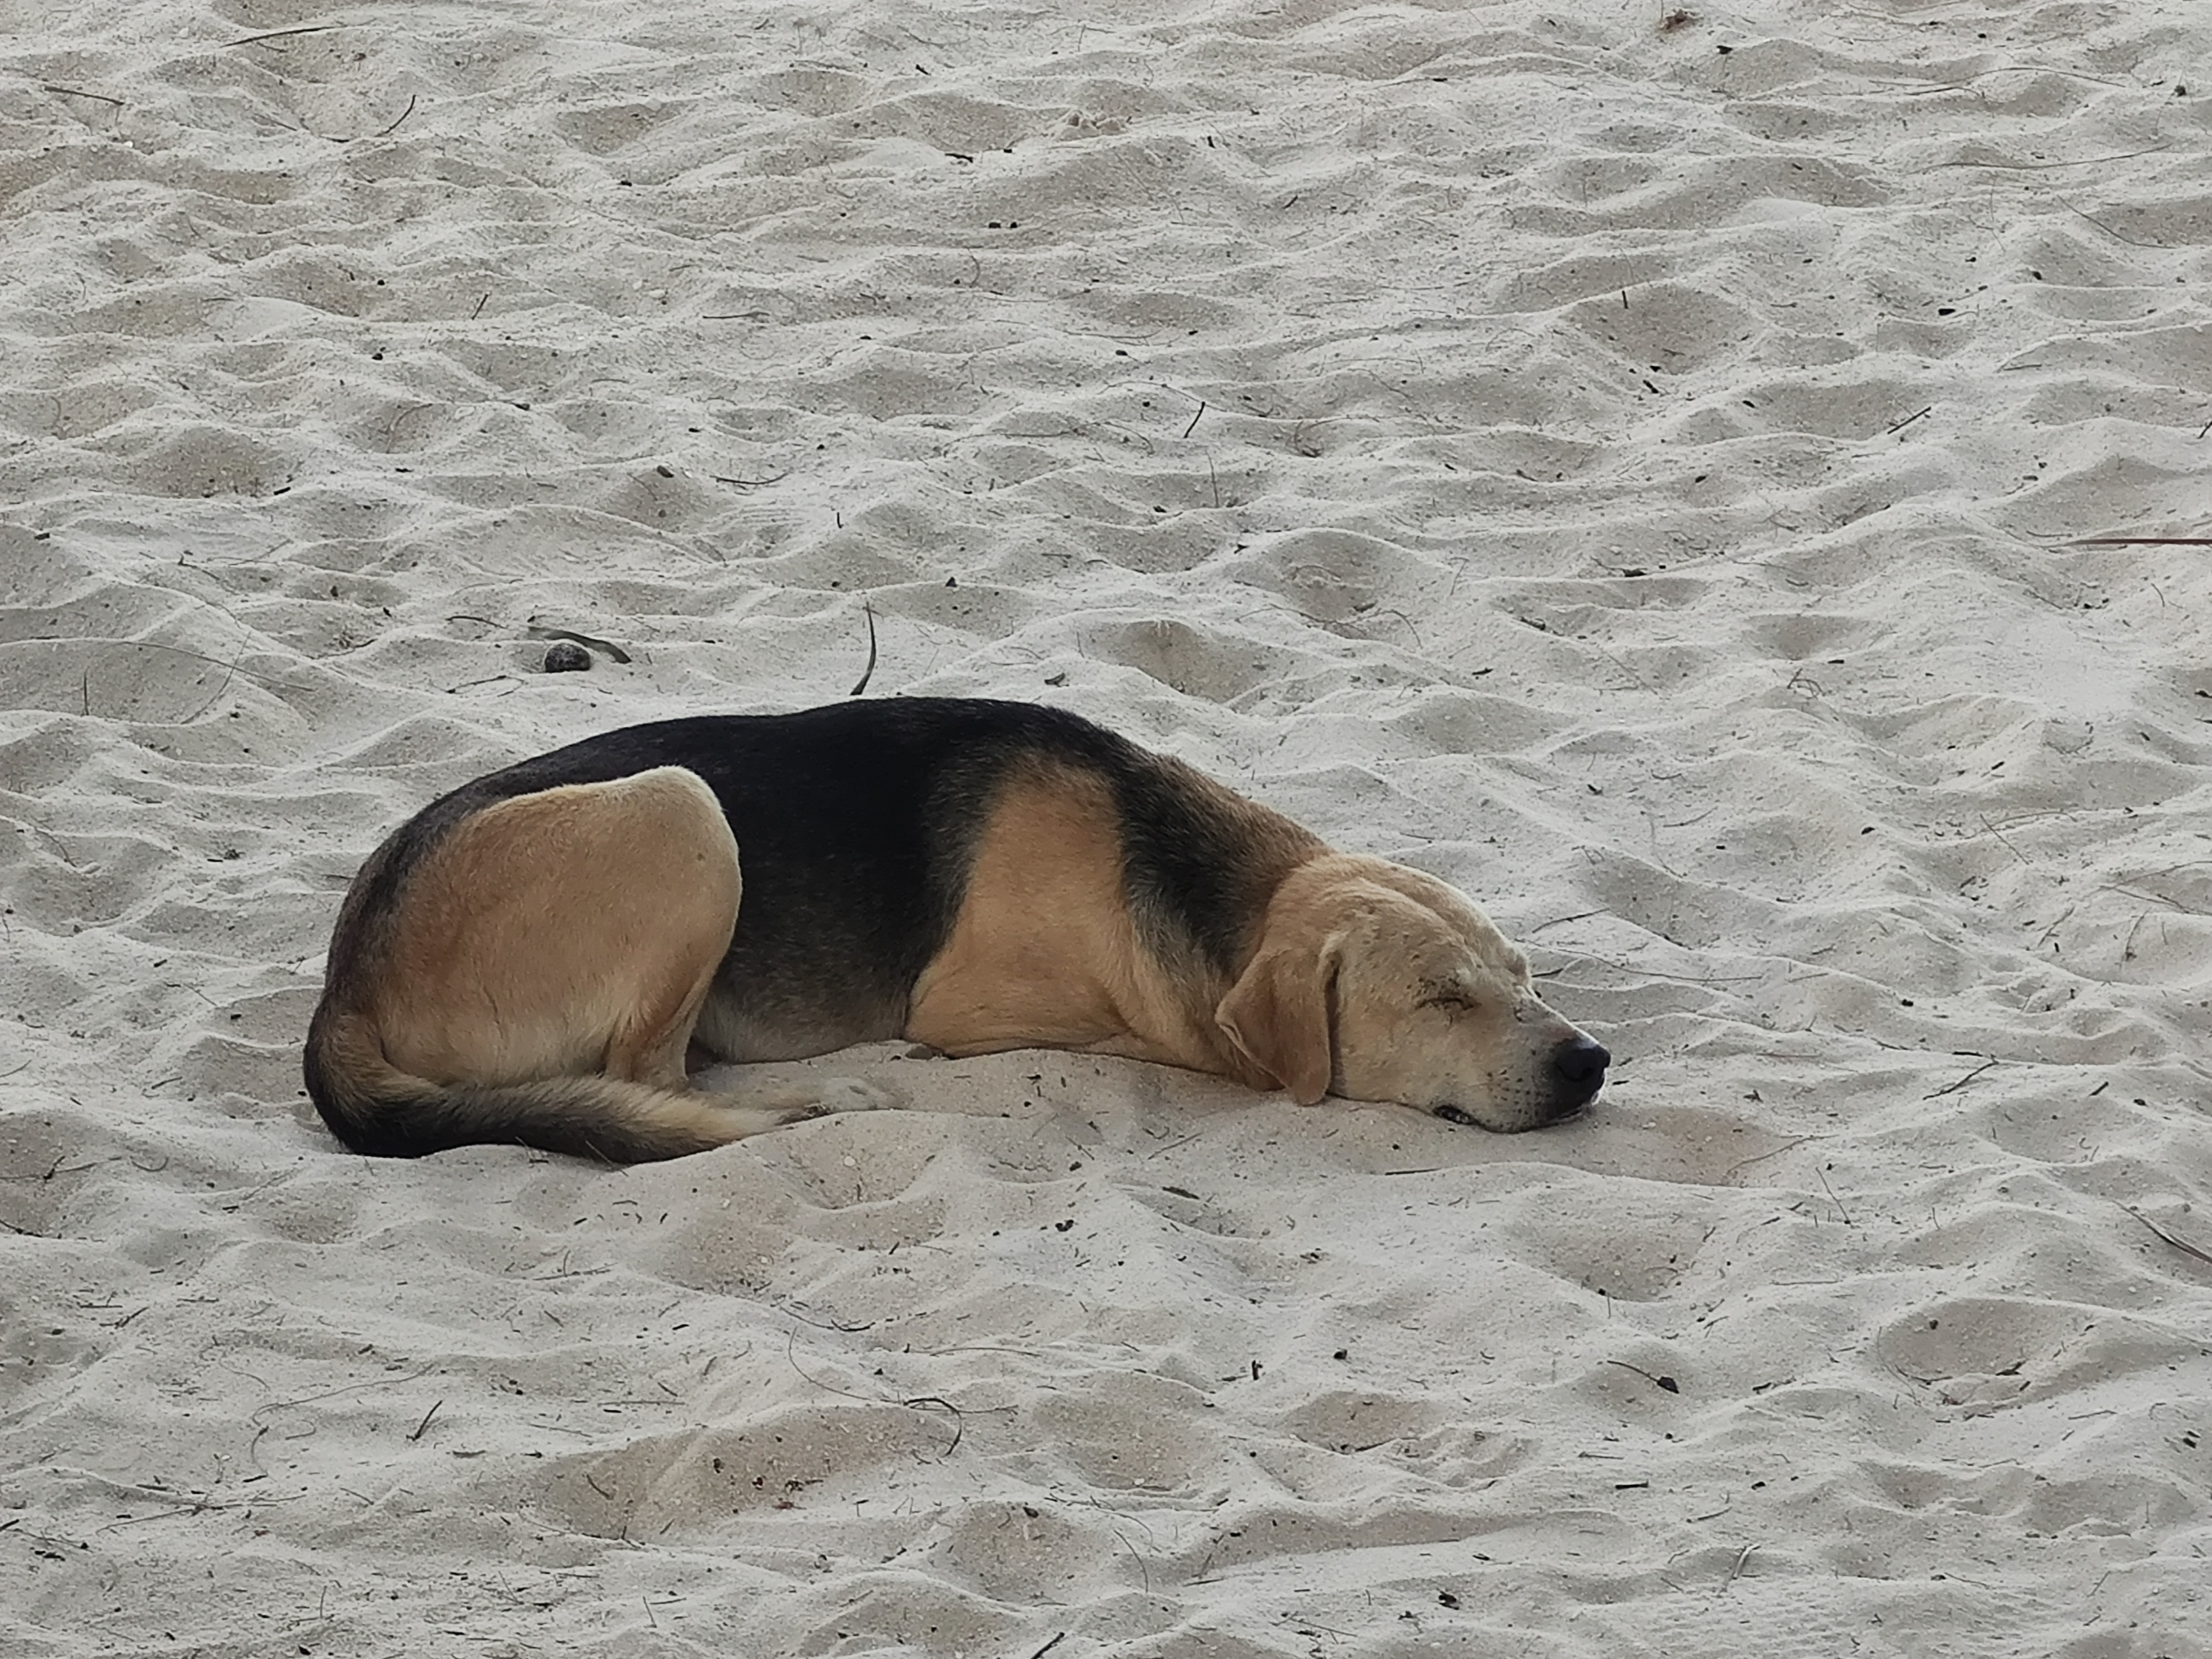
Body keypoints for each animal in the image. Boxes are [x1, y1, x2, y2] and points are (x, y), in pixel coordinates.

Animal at [305, 698, 1608, 1161]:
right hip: (680, 807)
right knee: (647, 1075)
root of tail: (344, 985)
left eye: (1520, 974)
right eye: (1439, 998)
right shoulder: (986, 1005)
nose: (1589, 1060)